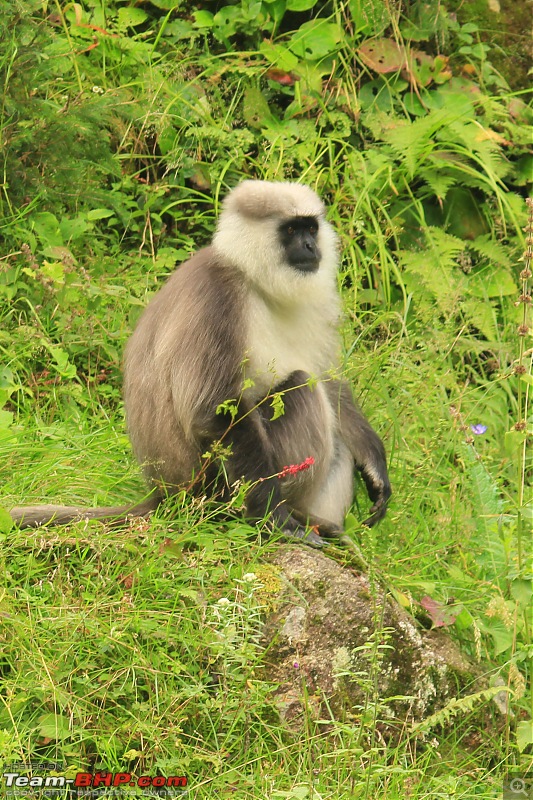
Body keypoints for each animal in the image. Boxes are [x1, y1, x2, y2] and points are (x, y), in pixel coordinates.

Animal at [9, 180, 390, 544]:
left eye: (311, 228)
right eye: (292, 230)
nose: (312, 247)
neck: (252, 280)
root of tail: (168, 492)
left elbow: (329, 378)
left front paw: (375, 468)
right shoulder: (218, 296)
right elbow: (214, 410)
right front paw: (272, 517)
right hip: (218, 489)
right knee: (301, 386)